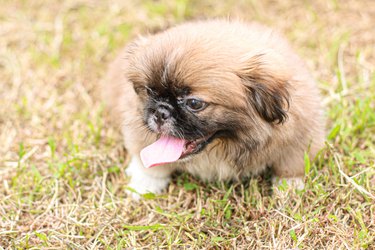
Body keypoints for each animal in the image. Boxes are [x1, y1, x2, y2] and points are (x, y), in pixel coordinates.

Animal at [102, 19, 326, 198]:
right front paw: (145, 183)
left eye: (194, 103)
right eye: (150, 91)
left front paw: (290, 187)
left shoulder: (301, 132)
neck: (224, 146)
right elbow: (149, 162)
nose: (160, 111)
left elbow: (291, 163)